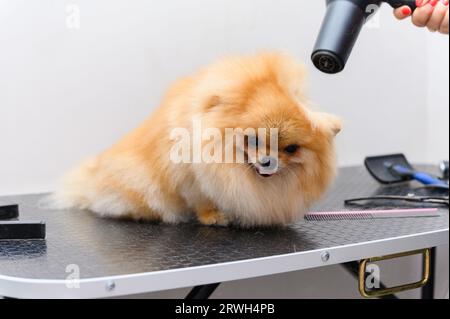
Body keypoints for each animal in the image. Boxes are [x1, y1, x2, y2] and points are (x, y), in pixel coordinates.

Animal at [48, 52, 342, 228]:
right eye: (254, 140)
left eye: (291, 148)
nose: (268, 162)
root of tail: (91, 181)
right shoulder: (191, 179)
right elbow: (201, 199)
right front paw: (213, 217)